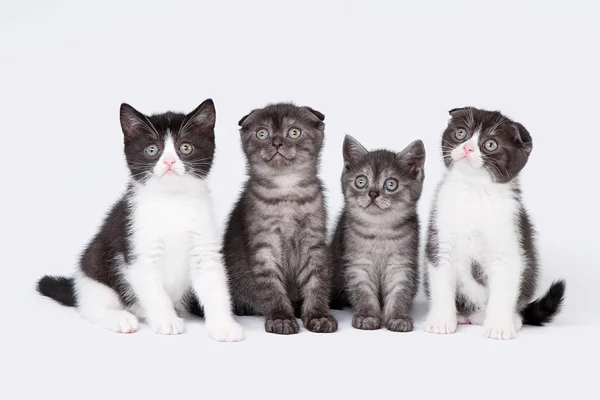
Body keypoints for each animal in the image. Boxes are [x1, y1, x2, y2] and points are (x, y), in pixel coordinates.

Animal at [37, 99, 244, 340]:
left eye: (185, 148)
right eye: (152, 150)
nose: (169, 162)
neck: (172, 201)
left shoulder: (204, 247)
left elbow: (215, 288)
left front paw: (223, 326)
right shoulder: (138, 247)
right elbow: (154, 291)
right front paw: (167, 321)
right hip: (95, 268)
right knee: (93, 308)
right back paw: (121, 318)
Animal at [223, 102, 340, 334]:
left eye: (293, 132)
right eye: (262, 133)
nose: (277, 142)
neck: (287, 190)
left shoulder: (314, 244)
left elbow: (317, 281)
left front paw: (318, 315)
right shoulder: (264, 247)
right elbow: (271, 287)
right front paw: (281, 318)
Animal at [328, 134, 426, 332]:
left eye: (391, 184)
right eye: (361, 181)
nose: (373, 193)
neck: (380, 229)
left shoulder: (401, 264)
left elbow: (400, 291)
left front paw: (398, 317)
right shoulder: (358, 263)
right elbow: (363, 290)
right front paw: (367, 315)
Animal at [424, 107, 564, 340]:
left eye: (490, 144)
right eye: (461, 133)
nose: (468, 148)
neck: (474, 191)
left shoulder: (508, 244)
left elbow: (503, 289)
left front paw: (499, 326)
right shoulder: (441, 241)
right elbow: (441, 282)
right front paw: (441, 321)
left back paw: (511, 319)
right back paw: (462, 315)